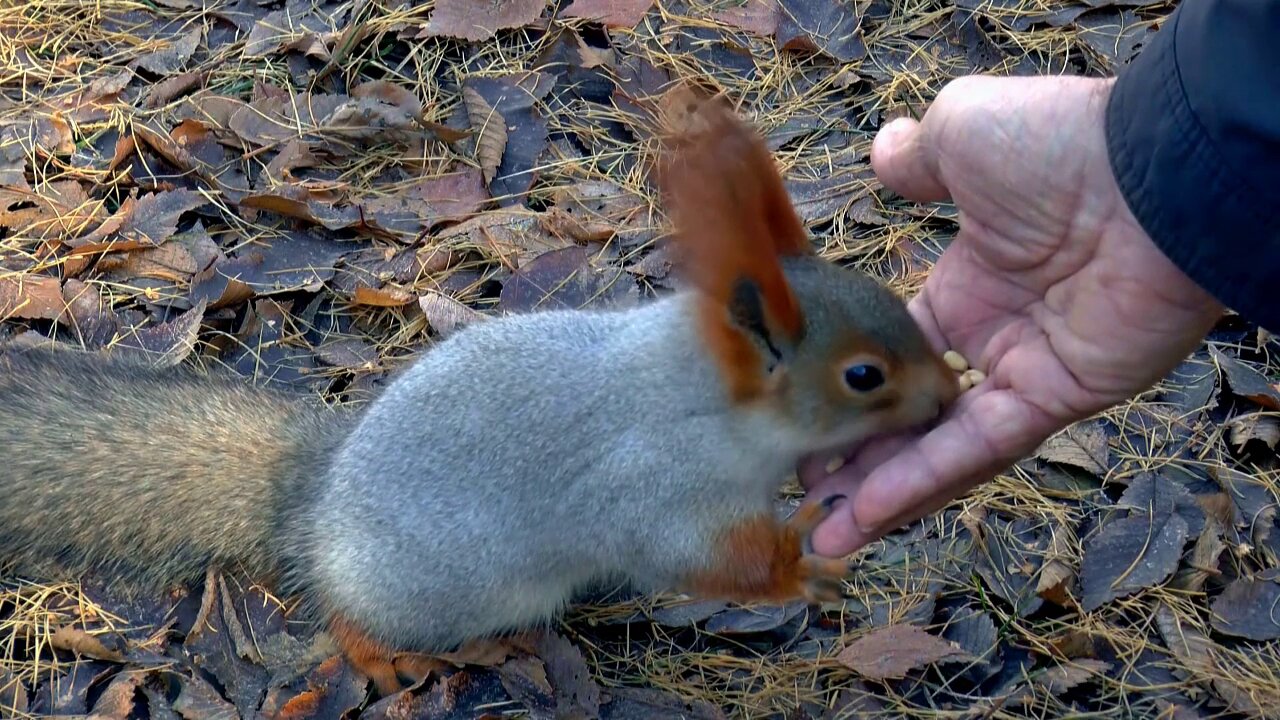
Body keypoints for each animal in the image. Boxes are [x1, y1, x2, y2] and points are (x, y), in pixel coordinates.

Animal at [0, 92, 962, 691]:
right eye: (864, 376)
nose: (952, 399)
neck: (704, 397)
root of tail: (314, 501)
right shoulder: (652, 487)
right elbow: (698, 559)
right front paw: (802, 563)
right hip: (431, 590)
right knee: (347, 614)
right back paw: (381, 654)